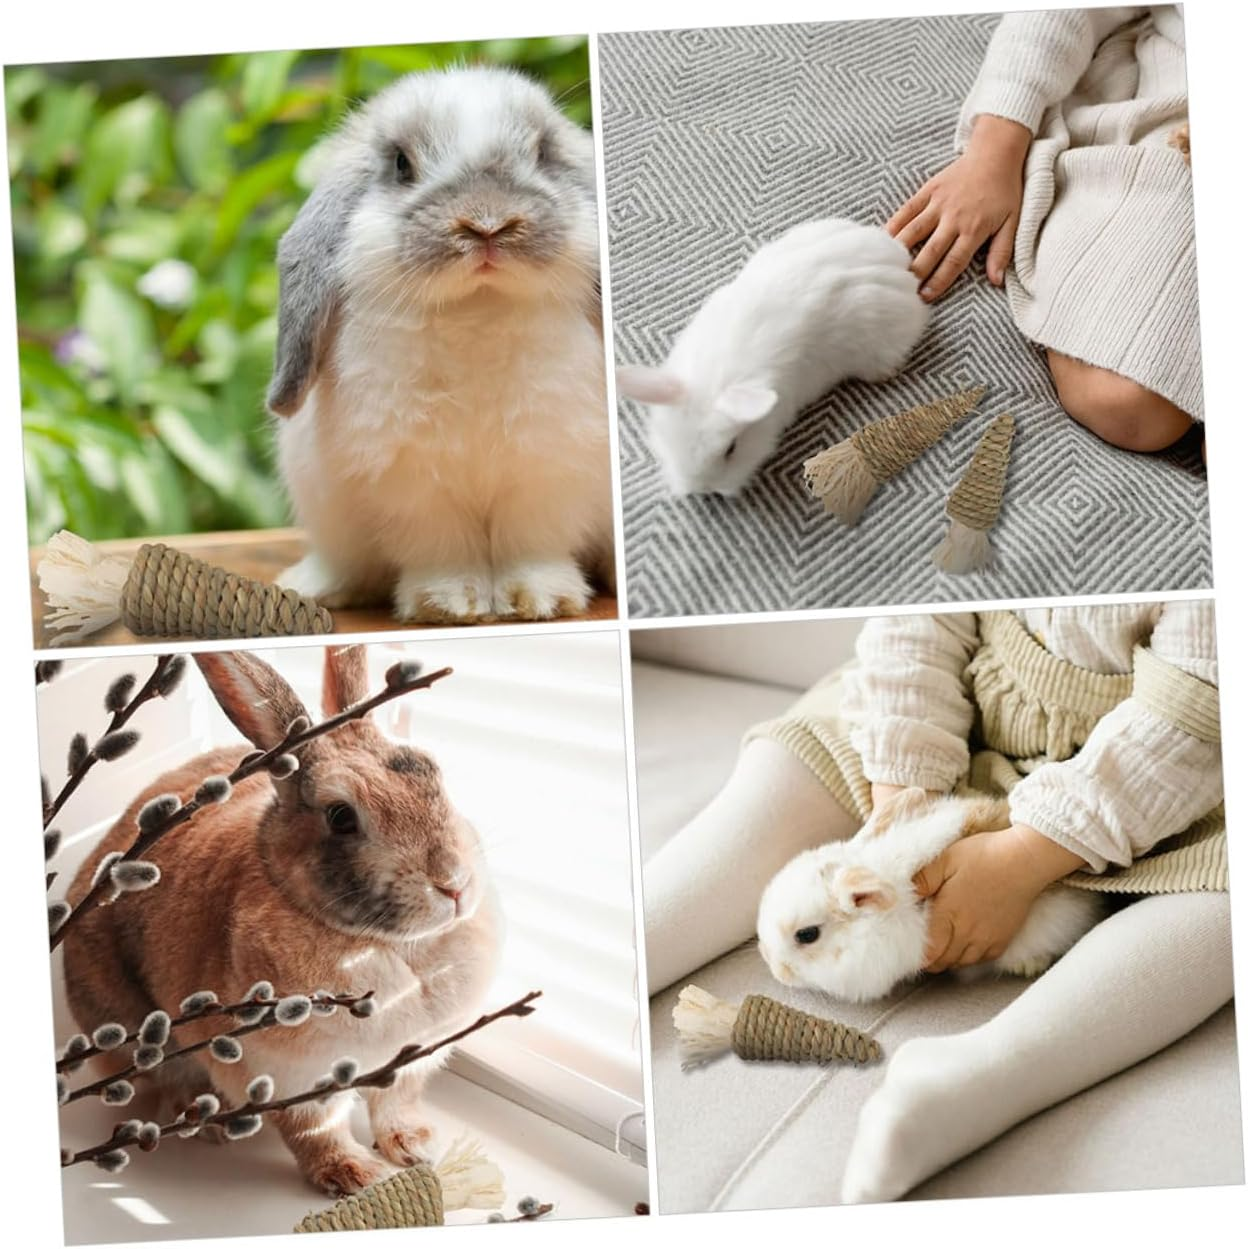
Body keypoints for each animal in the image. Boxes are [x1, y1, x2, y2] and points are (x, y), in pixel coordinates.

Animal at [63, 646, 503, 1196]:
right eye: (341, 817)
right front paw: (357, 1175)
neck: (391, 945)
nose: (454, 884)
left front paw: (416, 1147)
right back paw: (204, 1121)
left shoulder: (409, 1062)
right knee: (167, 1079)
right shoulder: (290, 1075)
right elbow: (314, 1129)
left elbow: (394, 1105)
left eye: (430, 771)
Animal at [269, 66, 614, 624]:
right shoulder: (413, 482)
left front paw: (541, 600)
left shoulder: (547, 469)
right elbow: (442, 549)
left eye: (543, 153)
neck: (477, 308)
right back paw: (313, 586)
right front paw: (448, 605)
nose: (487, 224)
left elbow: (532, 543)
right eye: (401, 164)